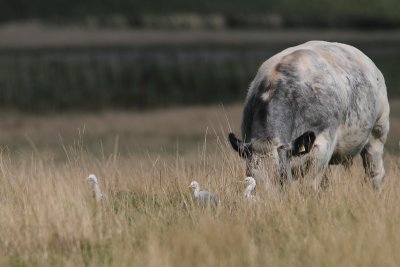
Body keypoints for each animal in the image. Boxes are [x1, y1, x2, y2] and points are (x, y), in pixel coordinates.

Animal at [230, 40, 390, 191]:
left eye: (281, 175)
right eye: (249, 175)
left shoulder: (323, 146)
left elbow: (309, 186)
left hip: (378, 133)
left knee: (375, 174)